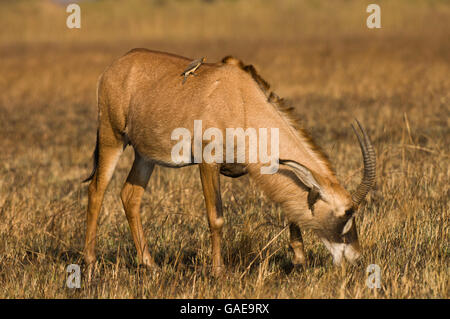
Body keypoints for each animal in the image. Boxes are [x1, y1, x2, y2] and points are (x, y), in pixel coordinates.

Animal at [83, 48, 376, 276]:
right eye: (346, 213)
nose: (355, 258)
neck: (242, 101)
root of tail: (115, 67)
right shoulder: (208, 163)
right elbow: (216, 217)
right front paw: (218, 271)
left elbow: (288, 205)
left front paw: (299, 260)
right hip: (112, 138)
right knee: (97, 190)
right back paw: (90, 262)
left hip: (145, 156)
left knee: (130, 196)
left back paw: (150, 264)